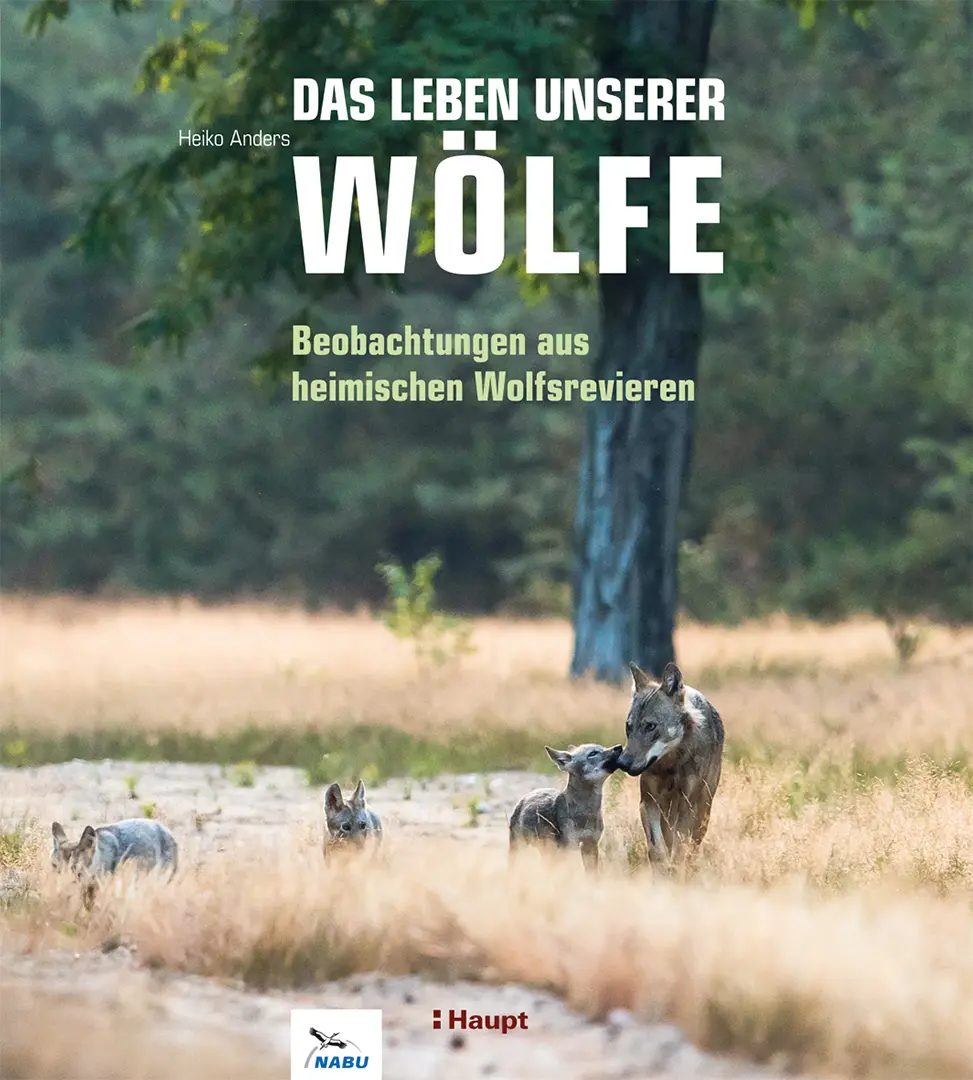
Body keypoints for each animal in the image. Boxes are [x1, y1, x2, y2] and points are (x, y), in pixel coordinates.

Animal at [508, 743, 623, 873]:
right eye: (593, 753)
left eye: (603, 747)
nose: (619, 746)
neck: (586, 814)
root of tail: (526, 796)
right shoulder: (569, 846)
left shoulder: (590, 845)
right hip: (520, 847)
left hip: (547, 850)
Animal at [616, 661, 724, 871]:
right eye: (628, 726)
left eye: (650, 726)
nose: (622, 763)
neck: (671, 764)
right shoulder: (648, 802)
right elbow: (656, 848)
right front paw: (662, 869)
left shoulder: (688, 806)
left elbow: (679, 848)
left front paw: (675, 869)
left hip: (703, 810)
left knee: (692, 845)